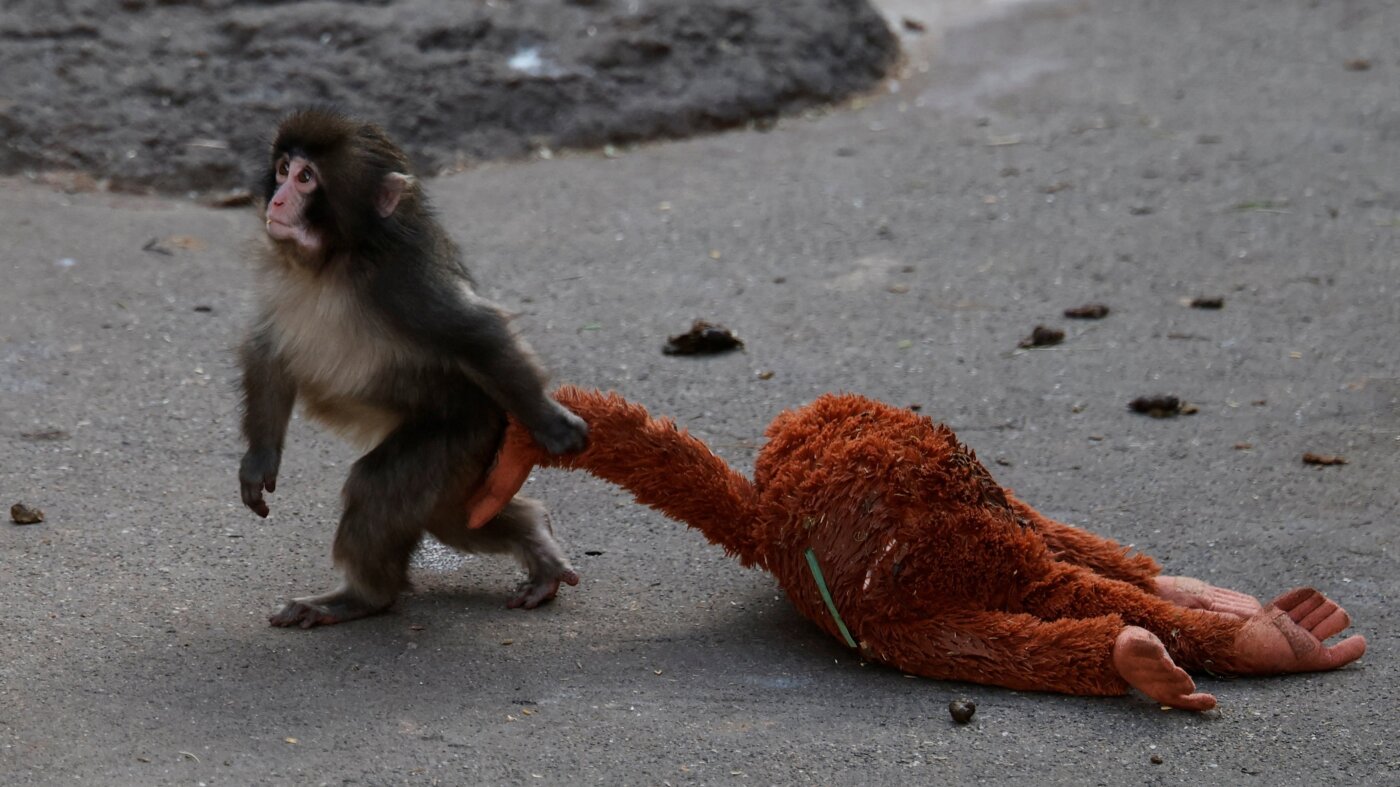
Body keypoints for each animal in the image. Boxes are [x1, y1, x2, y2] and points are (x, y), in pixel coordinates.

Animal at [238, 109, 588, 628]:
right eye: (282, 169)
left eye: (306, 179)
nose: (278, 199)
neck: (335, 260)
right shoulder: (277, 273)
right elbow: (268, 350)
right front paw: (260, 459)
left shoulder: (405, 283)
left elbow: (476, 331)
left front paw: (551, 422)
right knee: (454, 517)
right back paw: (536, 536)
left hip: (464, 431)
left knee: (381, 487)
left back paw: (363, 597)